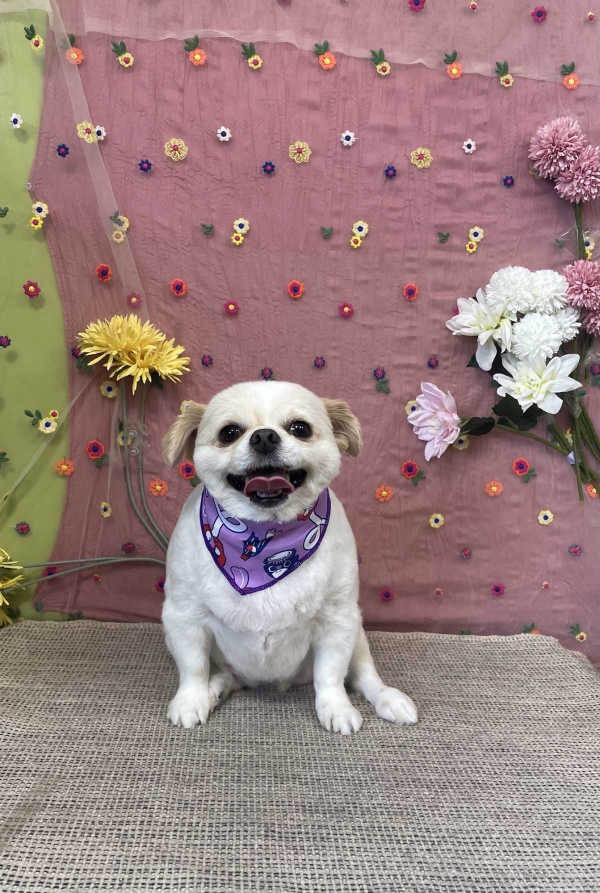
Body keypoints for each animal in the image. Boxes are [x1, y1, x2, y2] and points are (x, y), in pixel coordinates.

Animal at [161, 380, 418, 734]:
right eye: (230, 432)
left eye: (300, 428)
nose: (264, 436)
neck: (265, 534)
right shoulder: (183, 616)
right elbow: (193, 667)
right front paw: (192, 700)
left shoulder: (338, 620)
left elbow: (331, 674)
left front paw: (336, 708)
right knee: (223, 675)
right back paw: (214, 690)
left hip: (359, 636)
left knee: (364, 676)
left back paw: (388, 699)